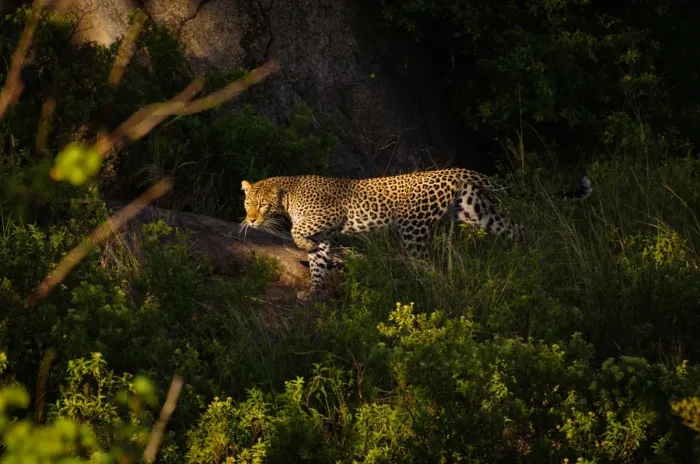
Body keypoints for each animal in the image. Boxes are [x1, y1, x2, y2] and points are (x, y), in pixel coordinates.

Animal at [240, 168, 592, 302]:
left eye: (262, 205)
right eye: (247, 203)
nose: (250, 220)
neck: (288, 195)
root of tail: (457, 170)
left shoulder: (330, 216)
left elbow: (300, 232)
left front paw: (299, 241)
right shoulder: (325, 236)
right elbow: (317, 265)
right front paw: (313, 293)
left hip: (414, 230)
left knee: (432, 266)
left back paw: (433, 291)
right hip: (478, 211)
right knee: (519, 229)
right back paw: (533, 258)